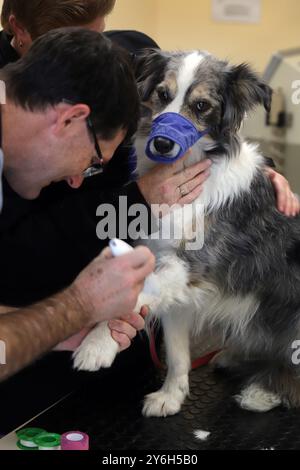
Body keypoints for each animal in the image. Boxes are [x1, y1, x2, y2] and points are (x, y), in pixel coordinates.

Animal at [72, 49, 300, 418]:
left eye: (202, 105)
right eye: (162, 94)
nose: (163, 143)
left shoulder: (191, 265)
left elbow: (136, 293)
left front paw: (96, 344)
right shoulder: (171, 274)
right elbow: (178, 352)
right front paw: (171, 396)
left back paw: (262, 393)